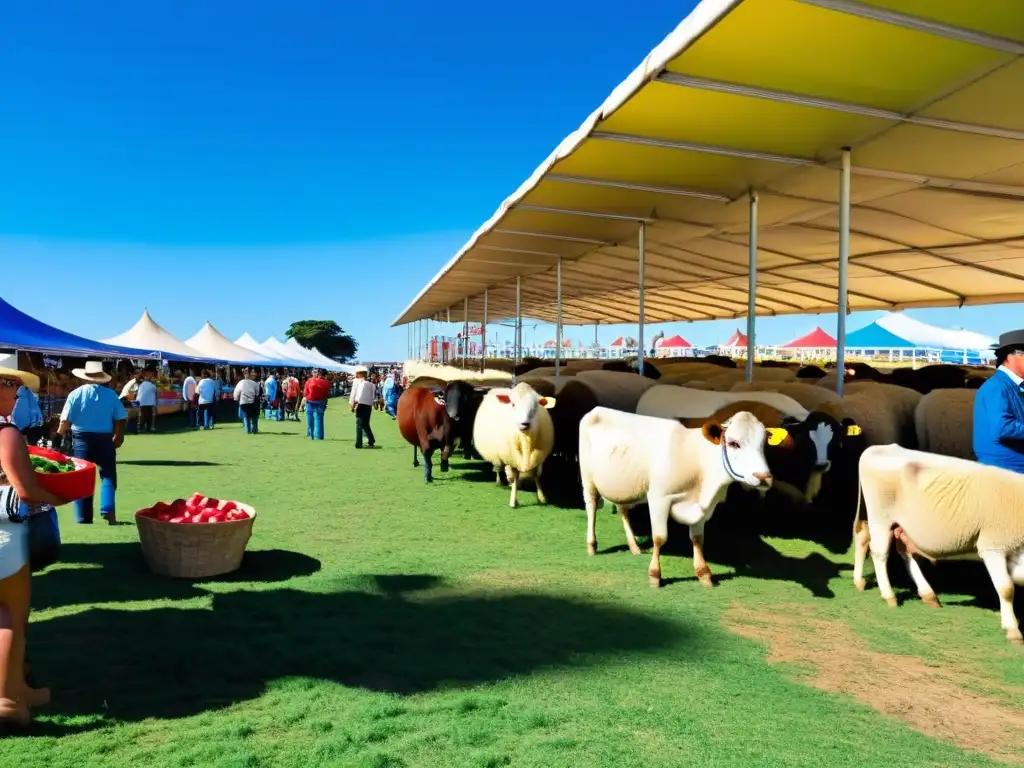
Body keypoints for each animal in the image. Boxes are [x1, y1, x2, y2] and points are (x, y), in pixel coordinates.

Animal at [577, 409, 782, 589]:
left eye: (763, 444)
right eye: (733, 443)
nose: (764, 477)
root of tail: (596, 410)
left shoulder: (703, 508)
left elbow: (698, 539)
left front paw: (704, 574)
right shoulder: (659, 498)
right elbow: (659, 538)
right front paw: (655, 576)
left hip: (624, 485)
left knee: (623, 509)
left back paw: (634, 546)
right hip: (588, 480)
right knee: (592, 506)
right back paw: (592, 546)